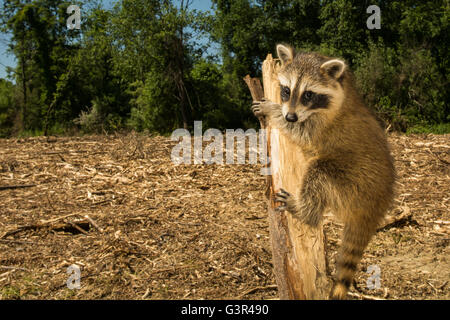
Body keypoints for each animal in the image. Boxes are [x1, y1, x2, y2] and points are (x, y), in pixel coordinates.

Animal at [251, 43, 396, 298]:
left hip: (352, 181)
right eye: (287, 90)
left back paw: (304, 209)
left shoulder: (322, 126)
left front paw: (273, 110)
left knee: (319, 173)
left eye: (308, 94)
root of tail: (374, 208)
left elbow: (301, 132)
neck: (345, 91)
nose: (290, 115)